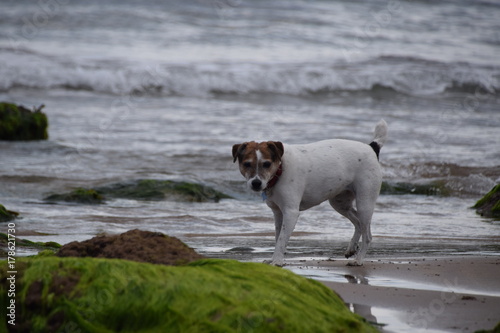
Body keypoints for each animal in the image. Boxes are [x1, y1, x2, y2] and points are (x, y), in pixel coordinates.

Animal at [232, 118, 388, 264]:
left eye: (266, 164)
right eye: (247, 164)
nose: (256, 183)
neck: (280, 170)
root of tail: (371, 147)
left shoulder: (291, 212)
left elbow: (281, 239)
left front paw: (277, 261)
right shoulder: (278, 212)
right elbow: (278, 238)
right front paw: (275, 259)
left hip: (365, 202)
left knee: (367, 235)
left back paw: (359, 260)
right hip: (340, 203)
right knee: (358, 223)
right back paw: (351, 248)